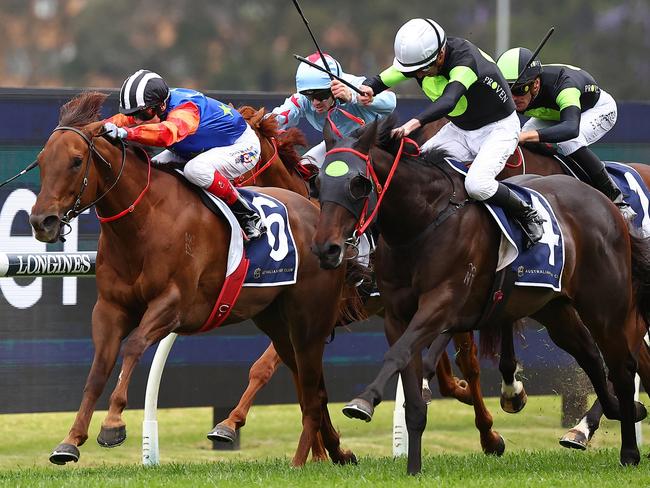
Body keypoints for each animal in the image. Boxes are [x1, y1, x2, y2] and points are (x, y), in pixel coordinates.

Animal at [27, 92, 356, 468]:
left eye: (76, 160)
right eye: (41, 161)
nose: (42, 221)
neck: (144, 220)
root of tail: (318, 214)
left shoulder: (174, 304)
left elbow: (134, 345)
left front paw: (112, 424)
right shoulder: (110, 308)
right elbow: (98, 369)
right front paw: (70, 440)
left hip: (310, 318)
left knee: (311, 388)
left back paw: (300, 459)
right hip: (277, 321)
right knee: (310, 386)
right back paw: (335, 451)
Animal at [308, 114, 648, 472]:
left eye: (358, 183)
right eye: (318, 183)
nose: (326, 249)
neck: (422, 221)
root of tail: (606, 202)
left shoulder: (442, 304)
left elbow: (399, 355)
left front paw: (363, 401)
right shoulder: (397, 315)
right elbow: (410, 388)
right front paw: (413, 468)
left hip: (605, 304)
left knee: (623, 366)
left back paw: (628, 451)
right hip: (554, 309)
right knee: (591, 355)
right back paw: (606, 418)